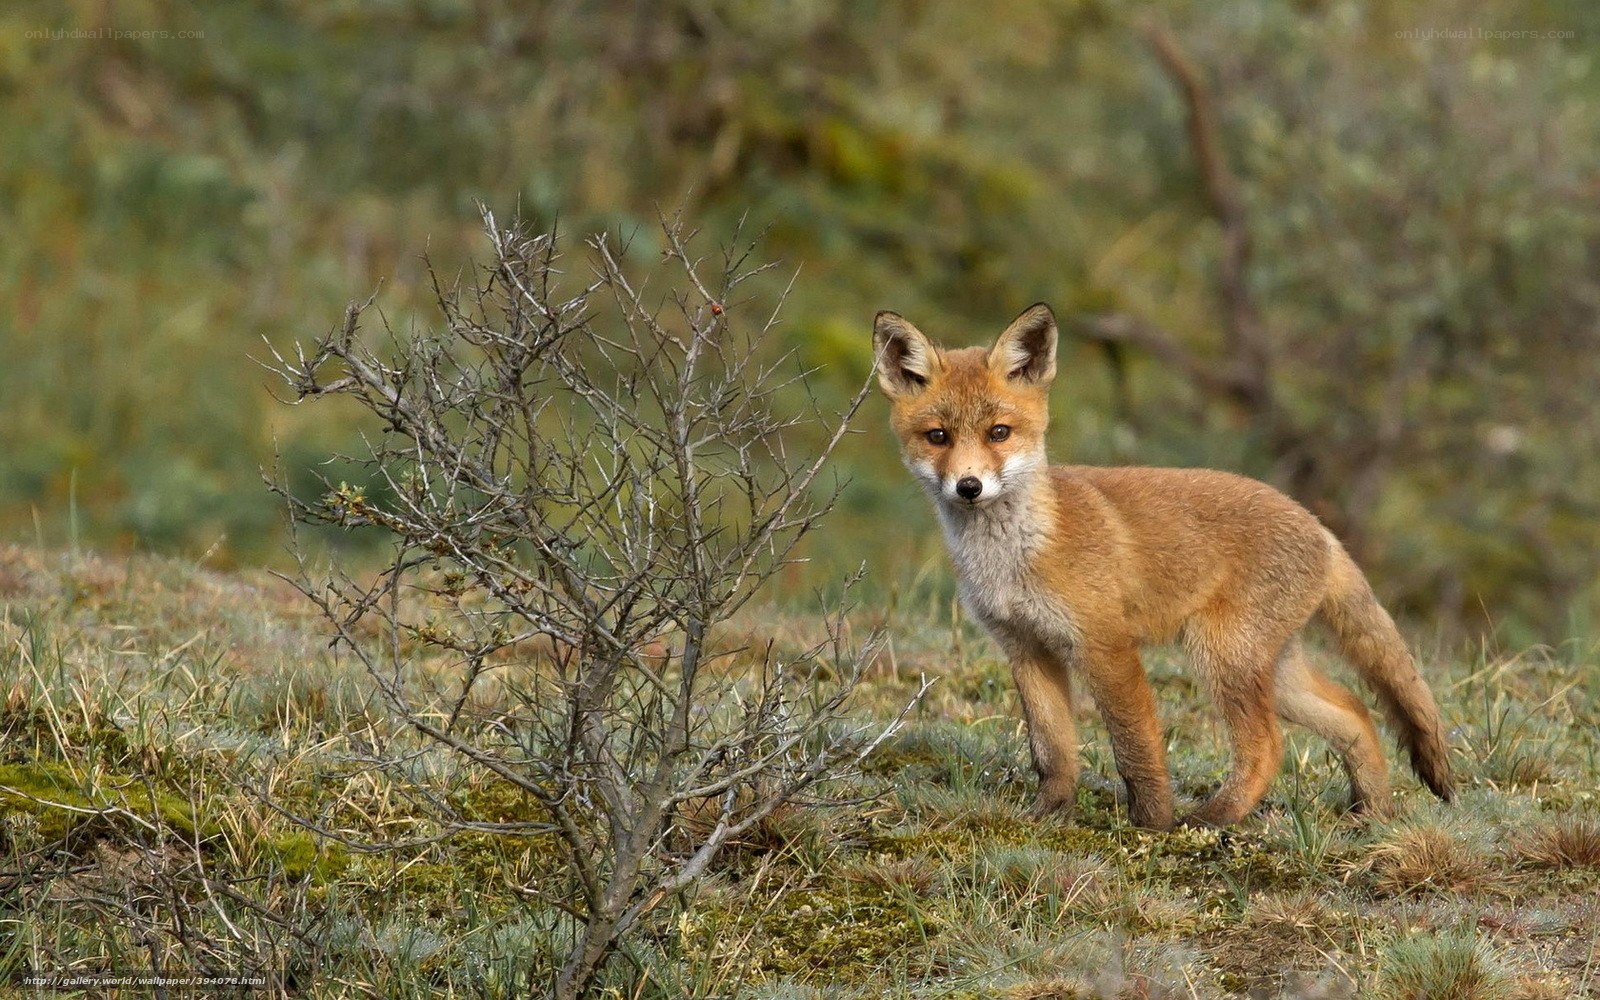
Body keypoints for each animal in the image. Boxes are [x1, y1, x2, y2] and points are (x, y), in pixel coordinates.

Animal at [872, 302, 1454, 829]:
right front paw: (1046, 816)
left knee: (1269, 744)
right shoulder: (1027, 647)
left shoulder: (1106, 645)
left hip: (1221, 654)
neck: (1016, 557)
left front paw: (1152, 823)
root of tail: (1321, 527)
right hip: (1271, 668)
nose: (969, 486)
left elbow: (1135, 745)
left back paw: (1215, 817)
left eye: (999, 432)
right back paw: (1374, 813)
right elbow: (1053, 752)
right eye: (938, 437)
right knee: (1354, 711)